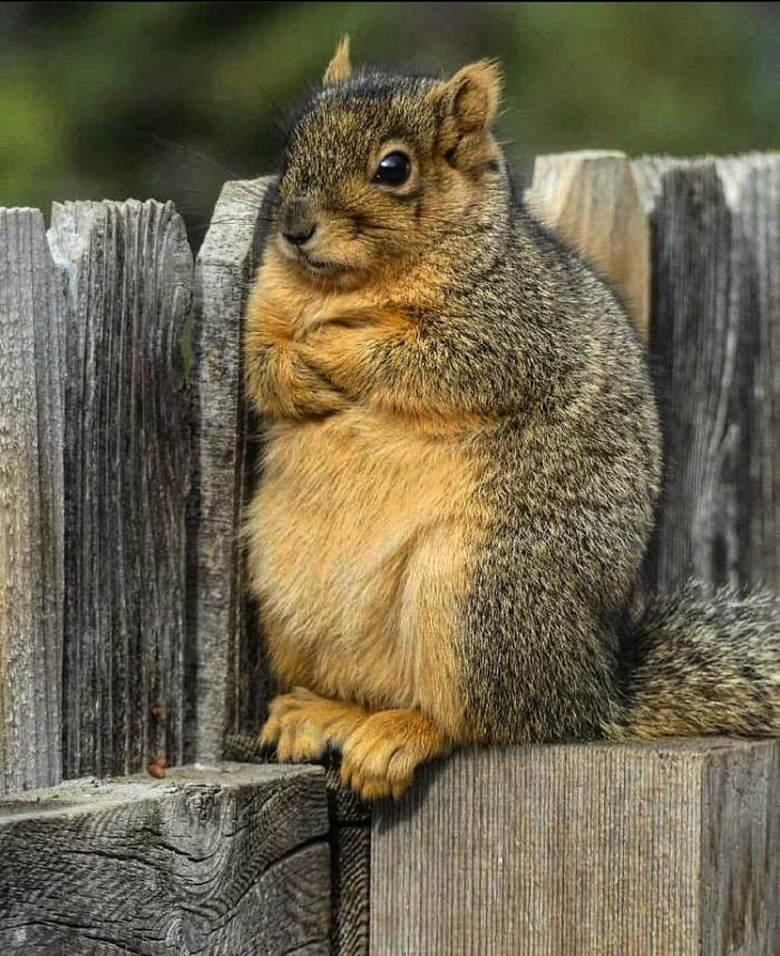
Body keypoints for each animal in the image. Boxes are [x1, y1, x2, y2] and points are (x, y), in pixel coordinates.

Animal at [241, 37, 776, 800]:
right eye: (291, 144)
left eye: (393, 168)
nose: (293, 228)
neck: (347, 286)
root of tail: (592, 693)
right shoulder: (262, 305)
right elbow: (259, 362)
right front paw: (294, 372)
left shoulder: (511, 326)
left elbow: (427, 358)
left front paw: (331, 347)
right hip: (285, 591)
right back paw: (323, 712)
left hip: (478, 594)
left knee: (482, 722)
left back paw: (400, 735)